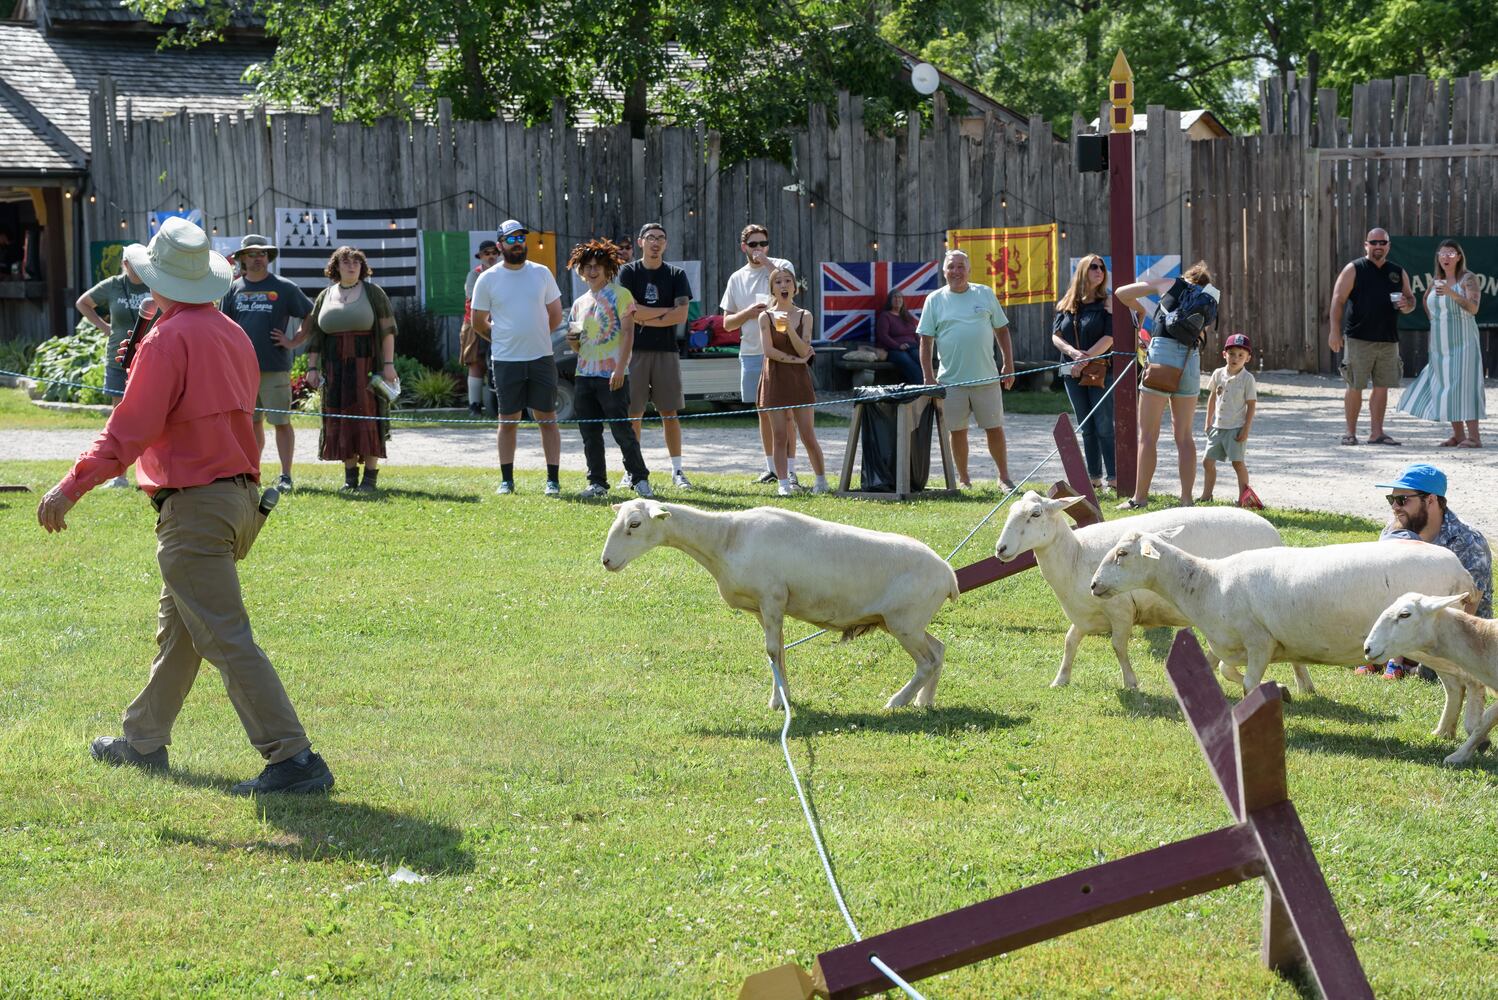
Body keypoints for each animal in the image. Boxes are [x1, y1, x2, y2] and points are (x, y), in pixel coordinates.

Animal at [599, 499, 958, 709]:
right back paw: (924, 701)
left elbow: (772, 650)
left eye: (634, 524)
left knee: (926, 662)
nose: (606, 561)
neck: (724, 538)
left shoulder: (771, 597)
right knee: (939, 650)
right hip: (902, 622)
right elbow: (779, 651)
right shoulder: (764, 608)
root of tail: (948, 574)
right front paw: (784, 697)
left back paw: (897, 701)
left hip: (904, 623)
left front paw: (777, 703)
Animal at [994, 491, 1288, 688]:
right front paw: (1061, 679)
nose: (1000, 549)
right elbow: (1070, 642)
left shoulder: (1120, 609)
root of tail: (1274, 533)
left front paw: (1131, 681)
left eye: (1035, 514)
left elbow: (1117, 646)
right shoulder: (1086, 614)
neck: (1075, 553)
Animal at [1090, 529, 1474, 703]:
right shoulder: (1236, 642)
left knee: (1459, 684)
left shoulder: (1259, 639)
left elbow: (1246, 682)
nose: (1094, 585)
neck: (1207, 584)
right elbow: (1225, 669)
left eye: (1122, 554)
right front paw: (1284, 689)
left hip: (1431, 644)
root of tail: (1462, 573)